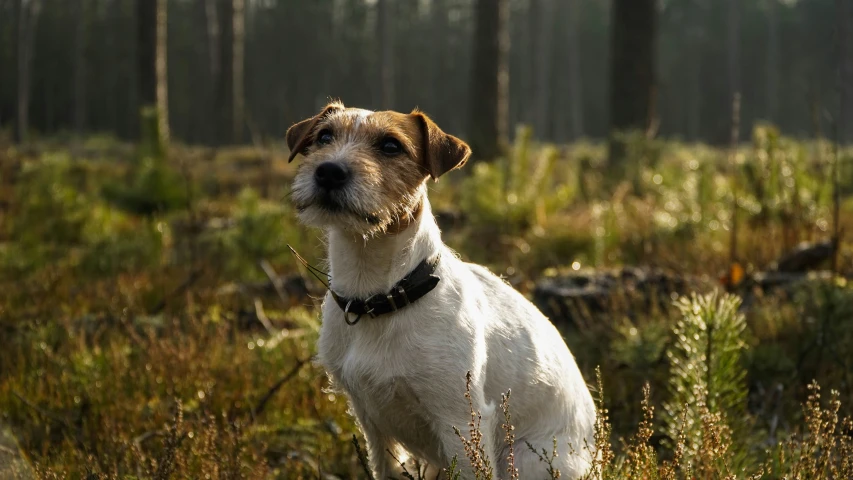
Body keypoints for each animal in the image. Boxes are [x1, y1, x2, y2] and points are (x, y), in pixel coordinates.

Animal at [284, 102, 592, 480]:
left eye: (391, 146)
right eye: (324, 137)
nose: (328, 172)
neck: (380, 296)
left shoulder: (460, 420)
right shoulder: (372, 423)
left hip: (525, 458)